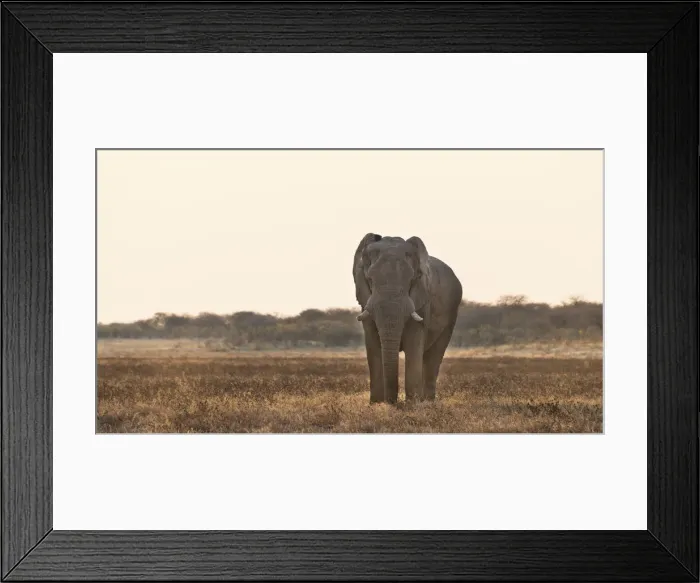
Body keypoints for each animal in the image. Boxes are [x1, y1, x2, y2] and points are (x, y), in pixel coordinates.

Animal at [352, 233, 463, 404]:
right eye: (370, 280)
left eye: (412, 280)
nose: (391, 402)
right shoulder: (366, 301)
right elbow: (373, 343)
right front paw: (376, 404)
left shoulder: (422, 298)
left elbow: (414, 340)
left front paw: (412, 404)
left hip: (452, 313)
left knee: (434, 355)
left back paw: (427, 401)